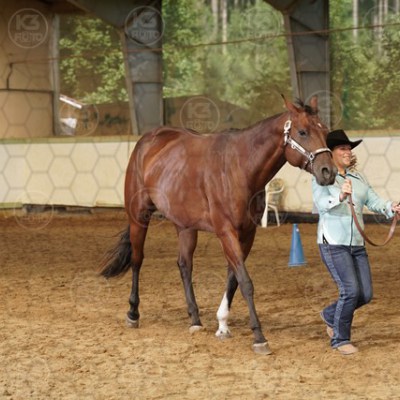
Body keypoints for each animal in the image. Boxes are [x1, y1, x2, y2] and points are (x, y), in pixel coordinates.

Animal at [100, 96, 337, 355]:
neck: (239, 168)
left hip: (185, 226)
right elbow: (245, 282)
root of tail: (147, 140)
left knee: (184, 265)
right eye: (303, 132)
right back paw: (133, 313)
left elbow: (233, 278)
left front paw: (222, 325)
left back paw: (195, 319)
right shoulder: (226, 232)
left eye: (325, 131)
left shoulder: (247, 234)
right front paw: (259, 336)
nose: (329, 171)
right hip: (138, 216)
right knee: (137, 260)